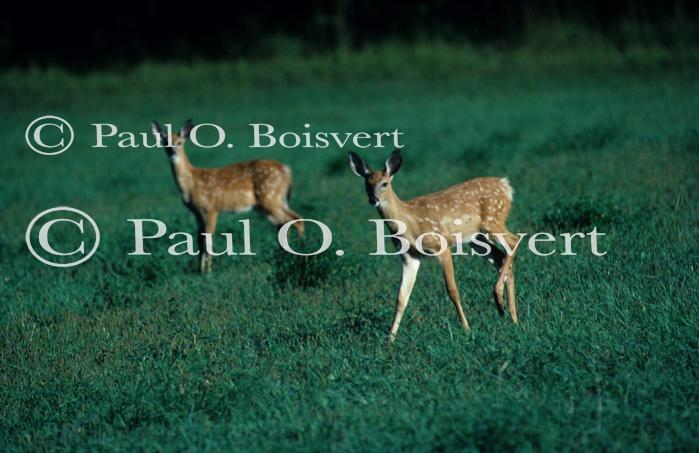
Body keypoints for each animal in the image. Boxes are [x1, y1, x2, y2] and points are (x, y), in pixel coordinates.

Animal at [152, 120, 304, 273]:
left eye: (179, 142)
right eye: (165, 142)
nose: (172, 151)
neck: (191, 184)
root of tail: (286, 170)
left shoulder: (210, 208)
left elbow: (208, 239)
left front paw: (208, 271)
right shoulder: (197, 213)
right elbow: (199, 240)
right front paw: (200, 270)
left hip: (270, 198)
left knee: (295, 220)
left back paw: (299, 251)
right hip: (269, 204)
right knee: (285, 223)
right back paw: (284, 254)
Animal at [348, 149, 520, 342]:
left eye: (385, 183)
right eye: (367, 184)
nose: (374, 199)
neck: (409, 222)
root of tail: (505, 186)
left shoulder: (441, 245)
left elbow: (452, 289)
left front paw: (466, 328)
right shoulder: (410, 256)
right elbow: (401, 298)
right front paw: (389, 340)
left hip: (493, 222)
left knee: (513, 241)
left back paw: (499, 298)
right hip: (478, 239)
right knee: (502, 257)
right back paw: (511, 316)